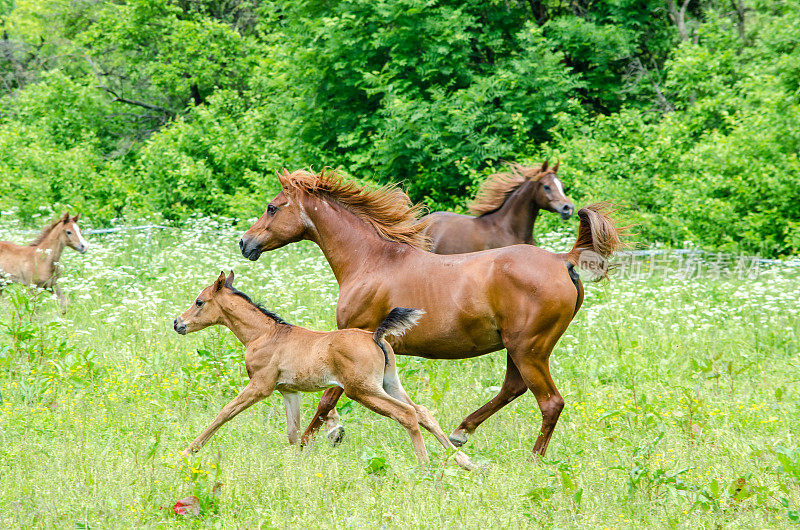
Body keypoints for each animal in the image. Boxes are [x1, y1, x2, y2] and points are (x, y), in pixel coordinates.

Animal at [173, 270, 476, 468]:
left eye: (199, 301)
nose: (178, 323)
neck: (264, 334)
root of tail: (376, 336)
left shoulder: (261, 386)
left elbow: (224, 413)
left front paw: (189, 451)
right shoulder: (288, 391)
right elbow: (293, 432)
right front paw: (297, 463)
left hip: (362, 390)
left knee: (407, 414)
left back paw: (426, 467)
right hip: (389, 384)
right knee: (422, 412)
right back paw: (465, 461)